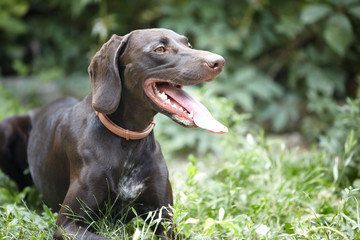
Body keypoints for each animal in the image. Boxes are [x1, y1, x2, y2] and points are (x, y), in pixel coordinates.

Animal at [0, 27, 226, 238]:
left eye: (188, 45)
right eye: (160, 49)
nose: (219, 62)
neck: (129, 141)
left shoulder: (165, 219)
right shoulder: (68, 224)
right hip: (6, 129)